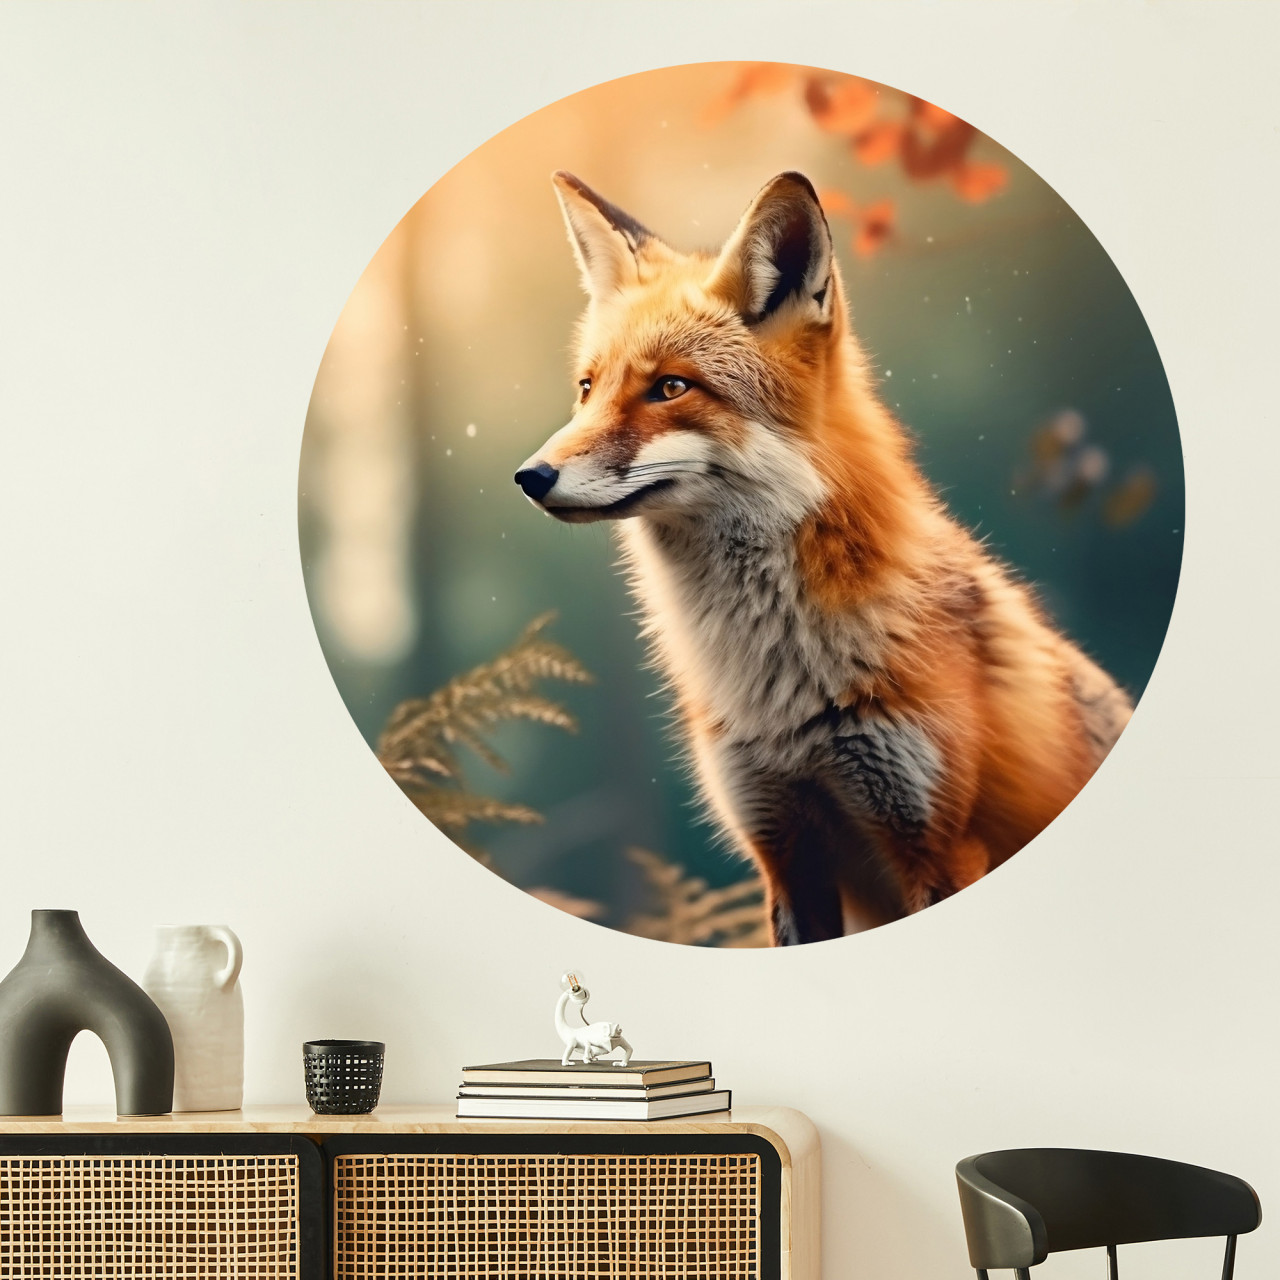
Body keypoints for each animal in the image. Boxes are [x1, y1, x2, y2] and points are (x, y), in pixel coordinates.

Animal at [515, 169, 1132, 945]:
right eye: (587, 388)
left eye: (670, 387)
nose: (529, 476)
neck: (781, 692)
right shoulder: (783, 850)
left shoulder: (937, 843)